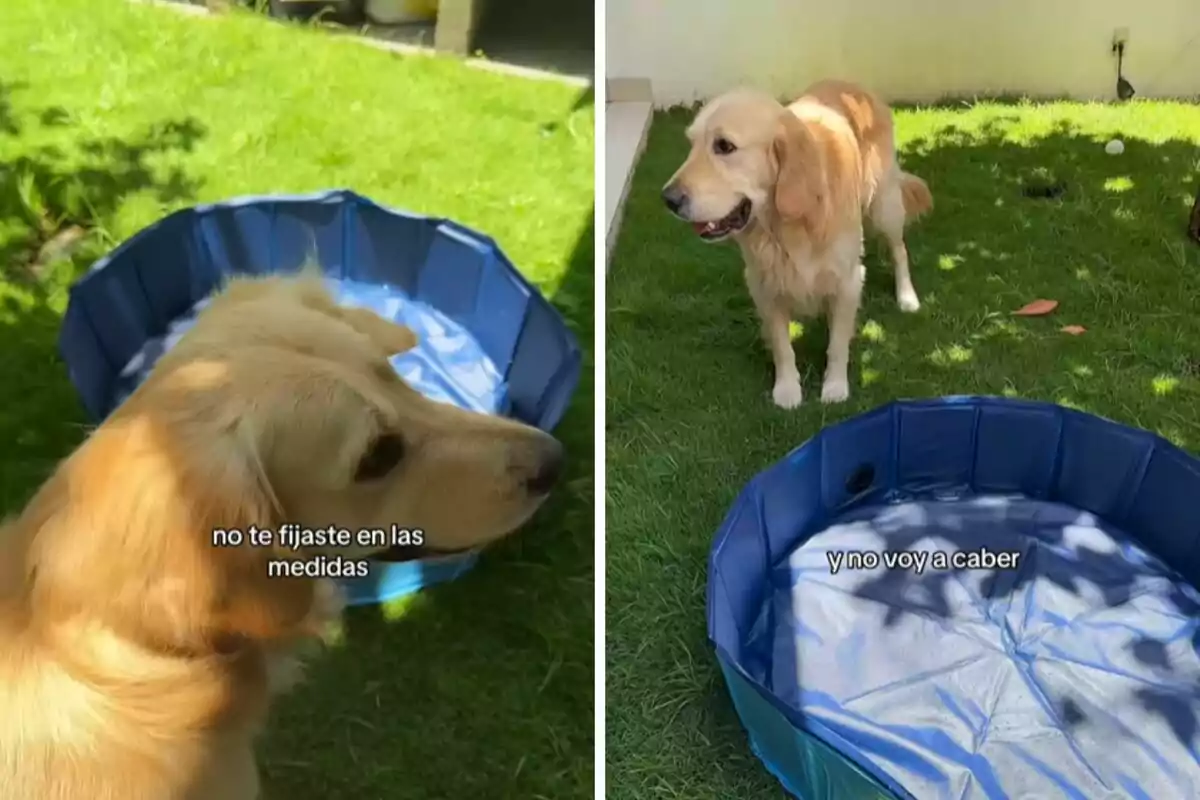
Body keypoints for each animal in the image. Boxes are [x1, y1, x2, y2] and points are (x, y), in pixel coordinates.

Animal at [662, 79, 931, 407]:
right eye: (691, 144)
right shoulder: (763, 285)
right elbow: (782, 346)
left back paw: (907, 296)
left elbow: (837, 344)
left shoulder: (848, 280)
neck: (786, 226)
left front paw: (834, 387)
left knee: (899, 250)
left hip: (884, 205)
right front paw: (787, 389)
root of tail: (854, 87)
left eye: (724, 146)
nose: (668, 199)